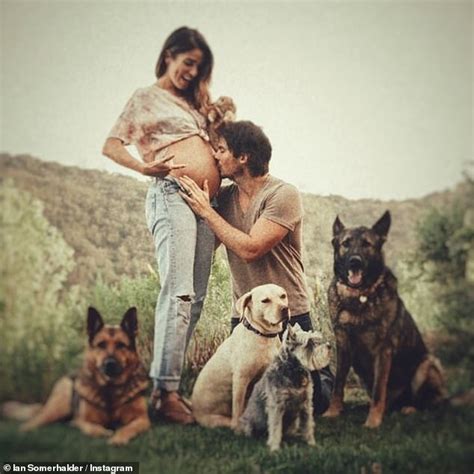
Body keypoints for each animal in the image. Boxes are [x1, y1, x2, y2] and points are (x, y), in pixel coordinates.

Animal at [239, 322, 332, 452]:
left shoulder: (306, 405)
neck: (294, 371)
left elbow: (308, 426)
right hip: (249, 423)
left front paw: (312, 444)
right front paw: (274, 447)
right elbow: (275, 428)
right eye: (310, 342)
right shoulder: (277, 406)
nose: (329, 346)